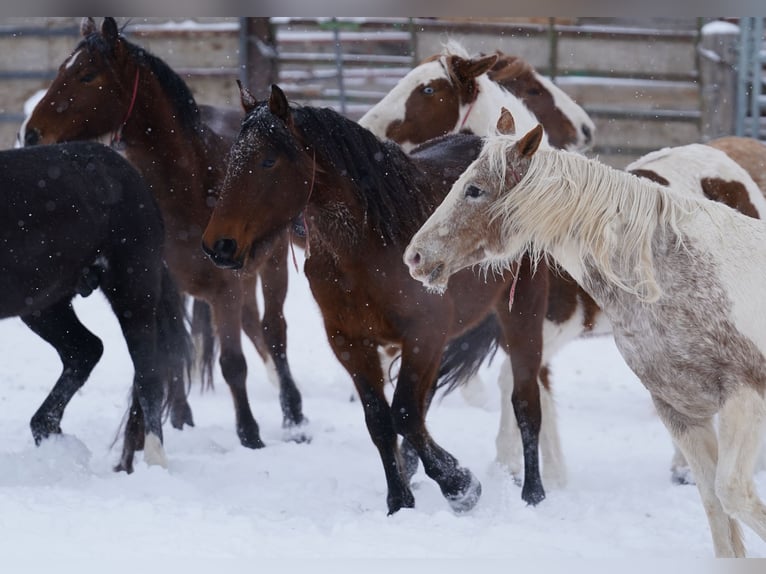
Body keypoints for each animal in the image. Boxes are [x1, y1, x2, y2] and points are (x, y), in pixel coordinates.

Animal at [0, 140, 192, 472]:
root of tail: (133, 175)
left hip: (133, 296)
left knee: (148, 376)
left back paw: (155, 460)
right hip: (43, 306)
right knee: (84, 350)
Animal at [21, 15, 308, 450]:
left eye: (87, 75)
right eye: (60, 71)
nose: (32, 134)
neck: (191, 184)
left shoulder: (225, 287)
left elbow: (233, 363)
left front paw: (249, 434)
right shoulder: (165, 284)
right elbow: (171, 351)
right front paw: (179, 417)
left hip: (271, 269)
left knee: (273, 332)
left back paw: (294, 416)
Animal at [202, 83, 552, 516]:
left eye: (268, 160)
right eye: (233, 158)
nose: (219, 245)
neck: (366, 245)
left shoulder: (423, 334)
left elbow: (402, 414)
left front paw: (460, 485)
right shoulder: (350, 341)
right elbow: (380, 420)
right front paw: (400, 499)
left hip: (522, 314)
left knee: (525, 403)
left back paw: (533, 494)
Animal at [404, 113, 764, 560]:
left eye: (474, 189)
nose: (415, 255)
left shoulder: (743, 396)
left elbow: (732, 493)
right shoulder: (677, 408)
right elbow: (717, 509)